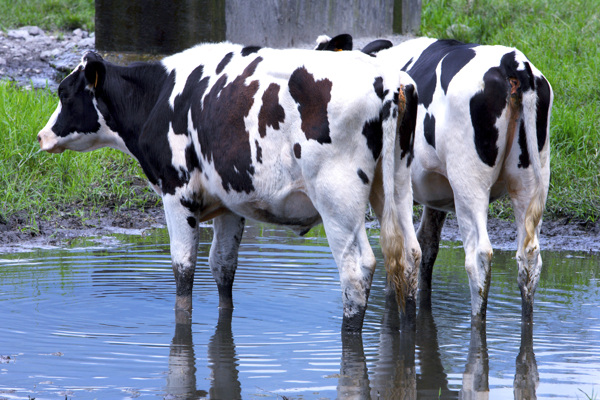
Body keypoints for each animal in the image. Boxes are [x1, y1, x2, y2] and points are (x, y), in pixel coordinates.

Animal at [37, 42, 422, 332]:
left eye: (64, 93)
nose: (42, 135)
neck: (159, 98)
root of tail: (389, 79)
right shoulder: (230, 201)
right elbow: (222, 267)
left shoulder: (177, 192)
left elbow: (184, 268)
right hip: (397, 183)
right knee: (409, 256)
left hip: (337, 197)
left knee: (356, 269)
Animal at [318, 35, 552, 324]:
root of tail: (512, 60)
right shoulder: (436, 196)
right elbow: (426, 246)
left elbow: (396, 247)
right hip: (530, 179)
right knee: (530, 258)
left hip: (469, 183)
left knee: (479, 257)